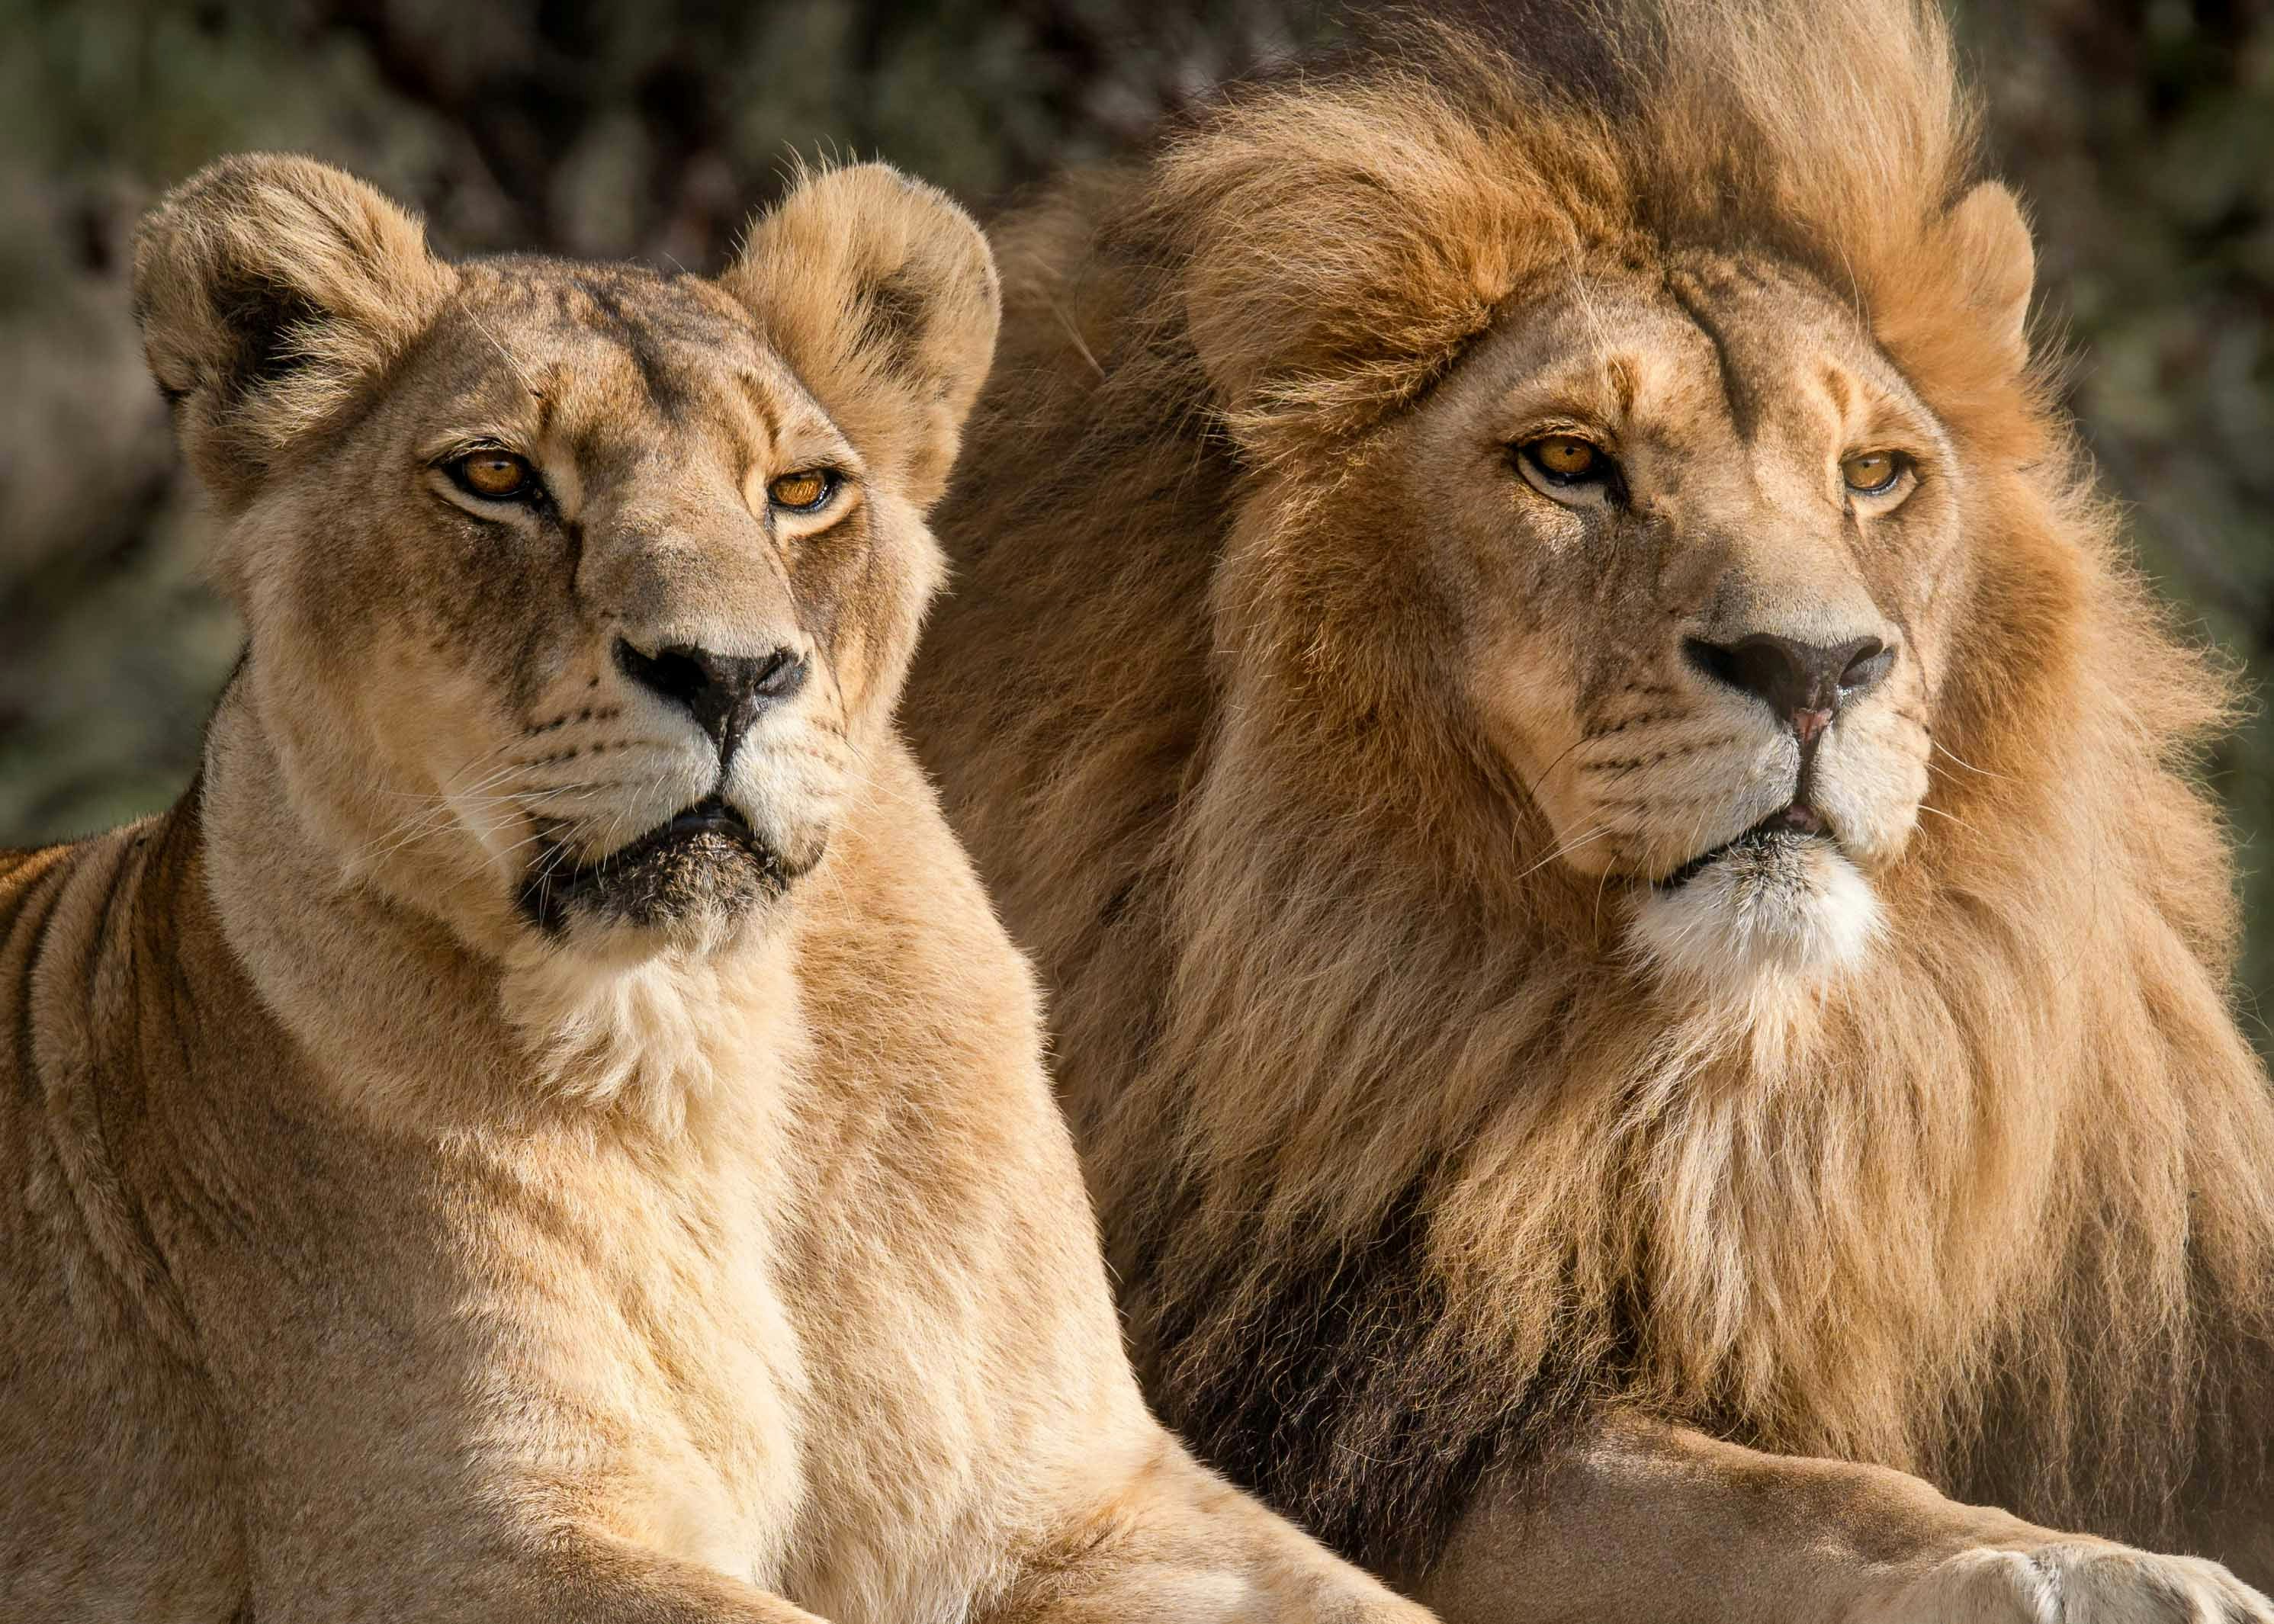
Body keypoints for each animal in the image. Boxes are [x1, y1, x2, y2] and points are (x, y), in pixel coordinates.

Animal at [0, 152, 1435, 1624]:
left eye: (801, 490)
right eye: (497, 475)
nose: (731, 673)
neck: (710, 1031)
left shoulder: (1071, 1496)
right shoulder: (459, 1544)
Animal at [903, 2, 2274, 1618]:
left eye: (1875, 475)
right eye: (1566, 463)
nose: (1813, 668)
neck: (1722, 1095)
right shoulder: (1350, 1398)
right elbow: (1762, 1501)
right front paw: (2074, 1567)